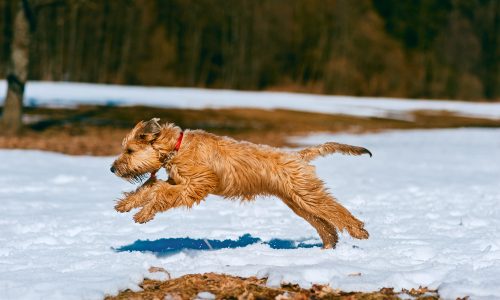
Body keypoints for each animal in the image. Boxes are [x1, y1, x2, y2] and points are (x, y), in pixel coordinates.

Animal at [112, 118, 372, 247]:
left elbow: (161, 192)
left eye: (129, 150)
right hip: (297, 201)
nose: (112, 168)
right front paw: (126, 204)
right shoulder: (179, 181)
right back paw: (329, 245)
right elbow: (152, 187)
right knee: (325, 223)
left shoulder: (198, 184)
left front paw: (144, 213)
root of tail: (298, 155)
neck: (176, 147)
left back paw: (358, 231)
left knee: (336, 211)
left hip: (306, 194)